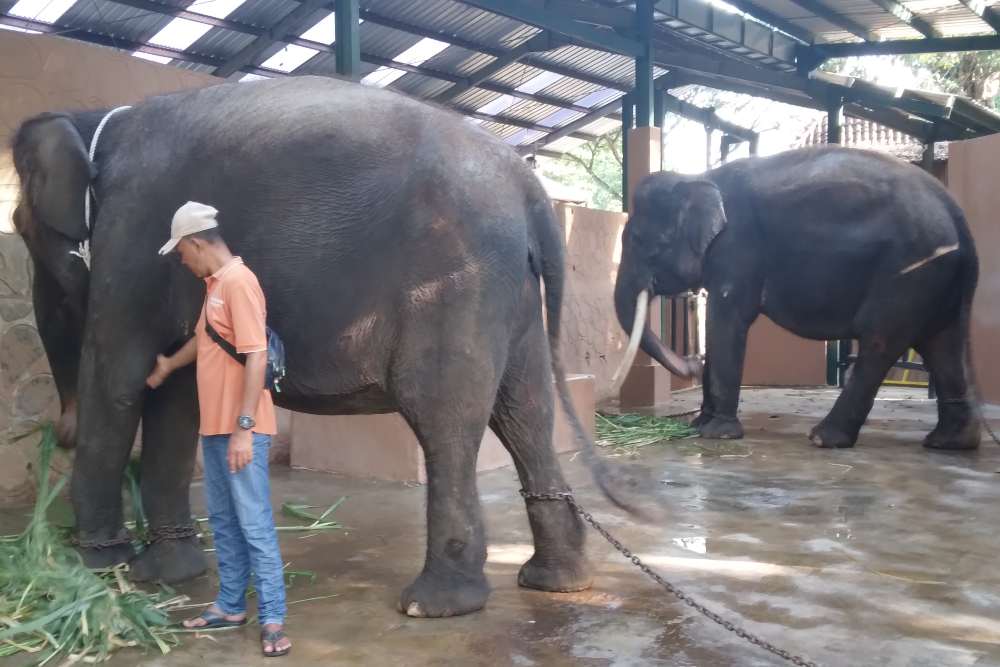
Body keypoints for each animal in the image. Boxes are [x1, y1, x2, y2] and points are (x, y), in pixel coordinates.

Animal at [9, 75, 640, 620]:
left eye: (20, 226)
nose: (54, 433)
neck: (95, 121)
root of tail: (528, 186)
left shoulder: (130, 239)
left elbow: (116, 381)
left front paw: (93, 567)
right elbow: (174, 394)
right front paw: (164, 575)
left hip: (458, 282)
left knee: (444, 416)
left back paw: (433, 604)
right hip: (515, 294)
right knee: (525, 411)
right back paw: (557, 581)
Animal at [612, 148, 980, 452]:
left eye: (640, 240)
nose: (692, 363)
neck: (698, 177)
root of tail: (958, 216)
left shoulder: (738, 246)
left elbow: (728, 317)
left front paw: (715, 433)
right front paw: (698, 424)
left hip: (906, 274)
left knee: (880, 341)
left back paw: (823, 438)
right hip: (938, 281)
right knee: (944, 345)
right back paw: (949, 443)